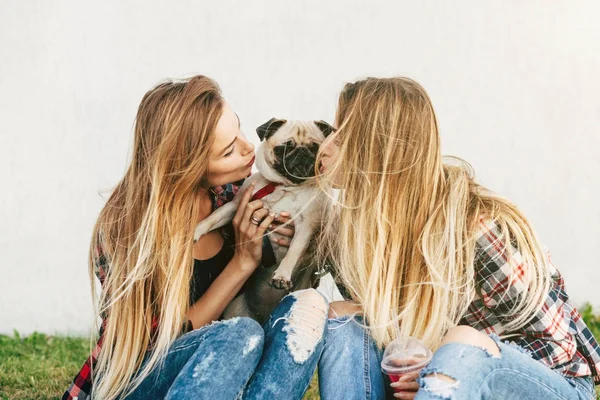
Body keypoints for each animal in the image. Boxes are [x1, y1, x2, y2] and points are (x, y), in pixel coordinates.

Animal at [192, 118, 332, 322]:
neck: (285, 186)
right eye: (283, 149)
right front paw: (197, 230)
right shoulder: (236, 204)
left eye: (315, 148)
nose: (302, 153)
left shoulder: (305, 225)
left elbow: (293, 251)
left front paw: (281, 276)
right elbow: (213, 217)